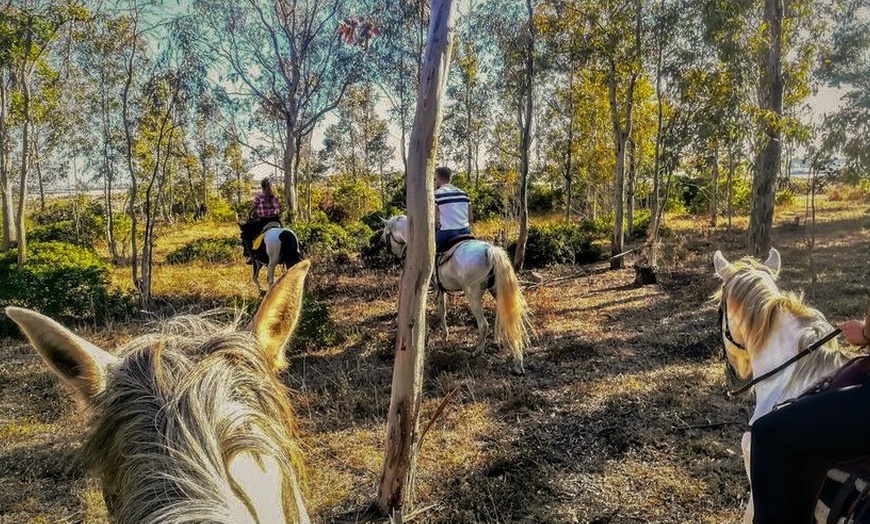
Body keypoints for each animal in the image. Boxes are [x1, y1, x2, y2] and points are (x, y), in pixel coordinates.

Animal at [384, 215, 532, 374]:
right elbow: (442, 312)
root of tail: (490, 250)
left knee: (483, 324)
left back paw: (477, 351)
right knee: (511, 320)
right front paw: (444, 336)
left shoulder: (430, 288)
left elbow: (432, 312)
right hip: (497, 291)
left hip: (473, 295)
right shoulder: (440, 290)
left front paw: (433, 336)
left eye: (388, 234)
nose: (396, 255)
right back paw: (518, 362)